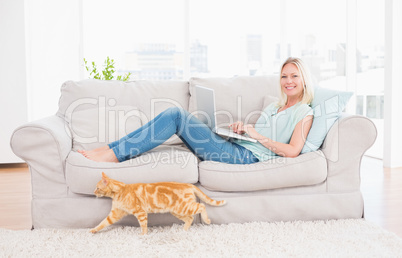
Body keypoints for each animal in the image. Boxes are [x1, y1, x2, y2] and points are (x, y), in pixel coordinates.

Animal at [89, 172, 226, 235]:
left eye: (97, 188)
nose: (93, 191)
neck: (120, 191)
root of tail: (189, 184)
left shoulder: (140, 212)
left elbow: (143, 225)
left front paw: (143, 235)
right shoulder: (115, 214)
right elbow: (103, 223)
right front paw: (94, 230)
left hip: (183, 207)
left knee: (201, 206)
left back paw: (207, 220)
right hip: (177, 211)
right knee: (190, 218)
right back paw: (184, 230)